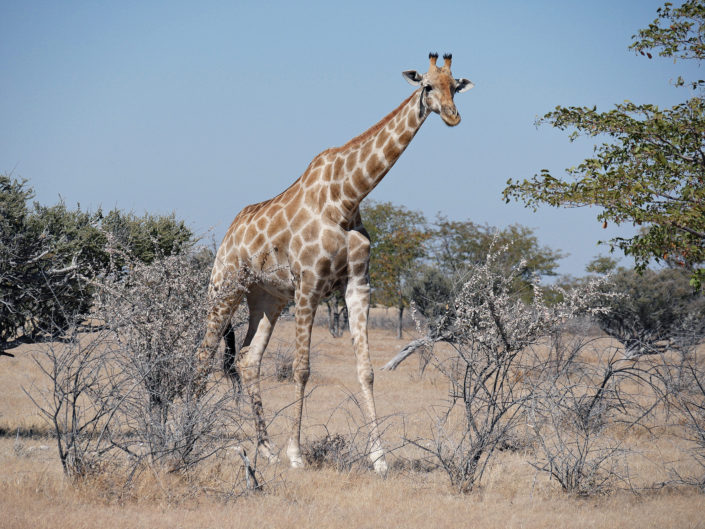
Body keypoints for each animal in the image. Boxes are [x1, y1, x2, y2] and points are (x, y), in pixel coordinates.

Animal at [197, 54, 472, 474]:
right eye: (427, 85)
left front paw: (379, 458)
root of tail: (227, 236)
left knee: (247, 360)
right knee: (203, 354)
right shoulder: (309, 283)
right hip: (226, 288)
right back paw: (181, 431)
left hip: (268, 300)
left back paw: (266, 448)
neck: (347, 197)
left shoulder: (358, 284)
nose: (453, 116)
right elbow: (302, 368)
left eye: (455, 86)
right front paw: (297, 454)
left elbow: (367, 370)